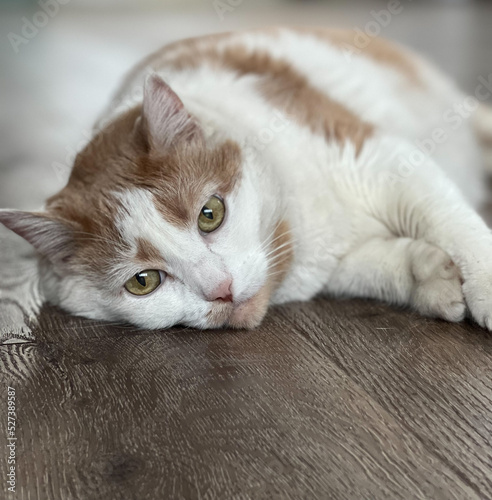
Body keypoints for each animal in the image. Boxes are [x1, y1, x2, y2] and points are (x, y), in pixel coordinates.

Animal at [0, 28, 492, 332]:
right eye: (143, 282)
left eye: (210, 214)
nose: (221, 291)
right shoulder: (335, 264)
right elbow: (383, 265)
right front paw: (432, 279)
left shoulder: (379, 158)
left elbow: (452, 222)